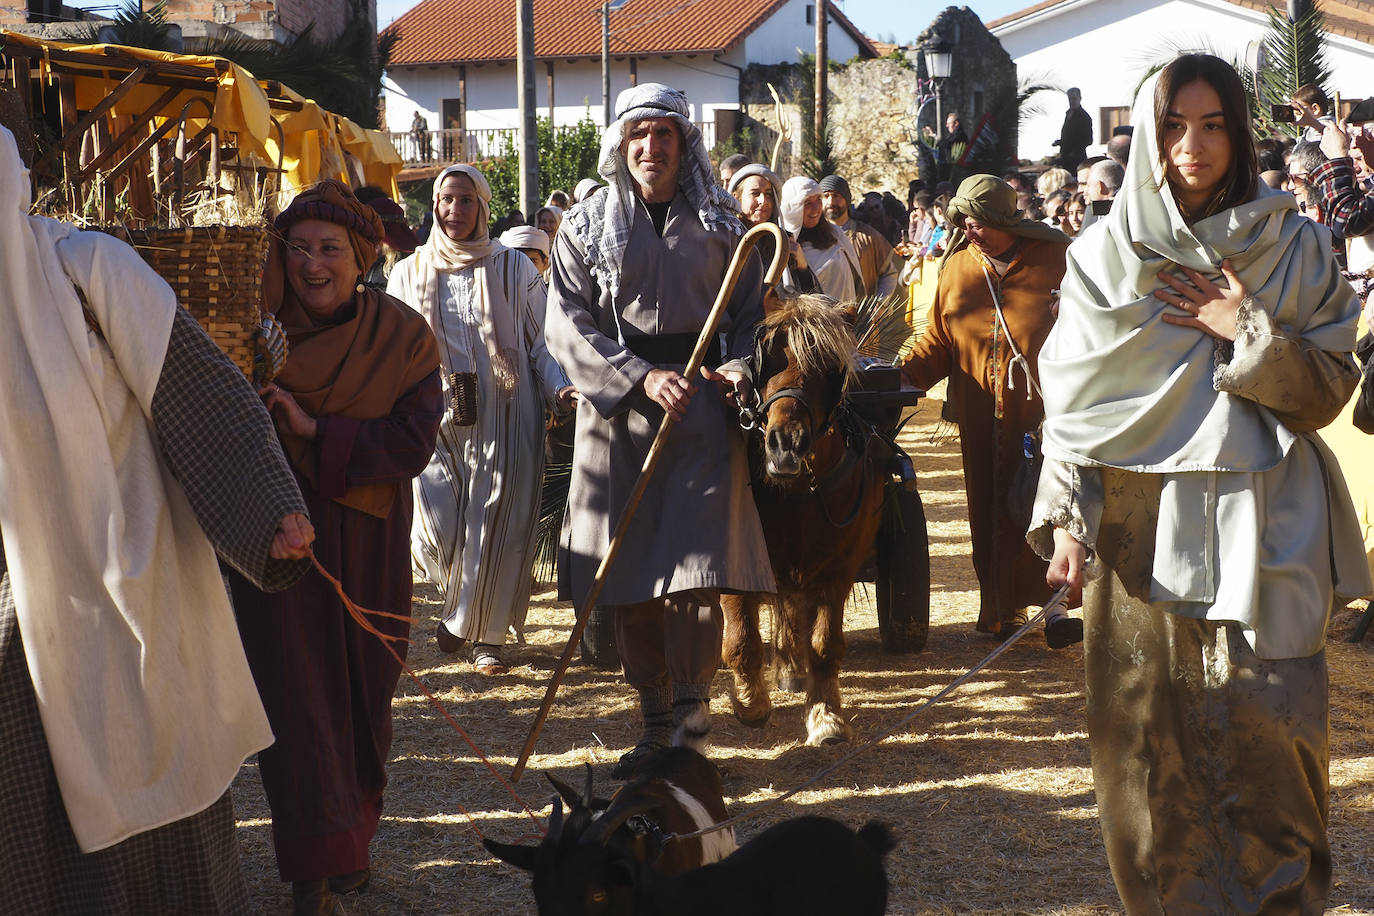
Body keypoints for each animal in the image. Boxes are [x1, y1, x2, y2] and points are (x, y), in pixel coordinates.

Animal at [725, 293, 884, 747]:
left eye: (829, 367)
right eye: (767, 355)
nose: (785, 444)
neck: (795, 492)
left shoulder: (837, 568)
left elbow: (823, 643)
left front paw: (826, 715)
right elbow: (741, 638)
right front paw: (751, 702)